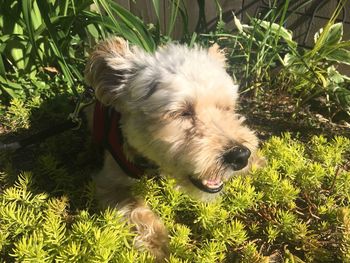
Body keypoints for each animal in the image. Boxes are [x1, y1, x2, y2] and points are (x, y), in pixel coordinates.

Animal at [84, 37, 260, 262]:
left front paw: (257, 162)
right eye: (181, 113)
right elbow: (136, 209)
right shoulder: (110, 182)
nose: (241, 156)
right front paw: (160, 247)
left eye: (226, 108)